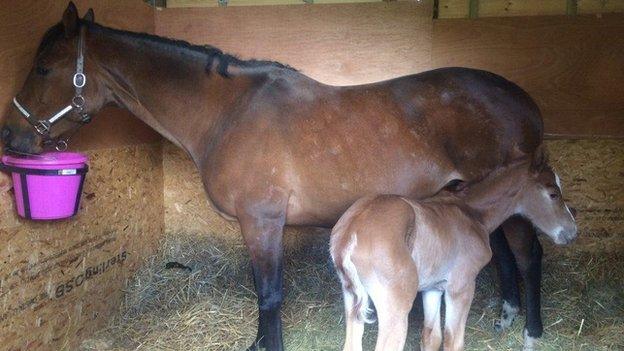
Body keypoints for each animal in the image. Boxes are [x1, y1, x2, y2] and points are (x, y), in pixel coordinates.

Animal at [330, 155, 576, 351]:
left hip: (351, 298)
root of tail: (350, 234)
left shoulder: (433, 288)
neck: (472, 213)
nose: (572, 232)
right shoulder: (461, 287)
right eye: (553, 194)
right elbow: (453, 342)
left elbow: (431, 338)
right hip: (396, 306)